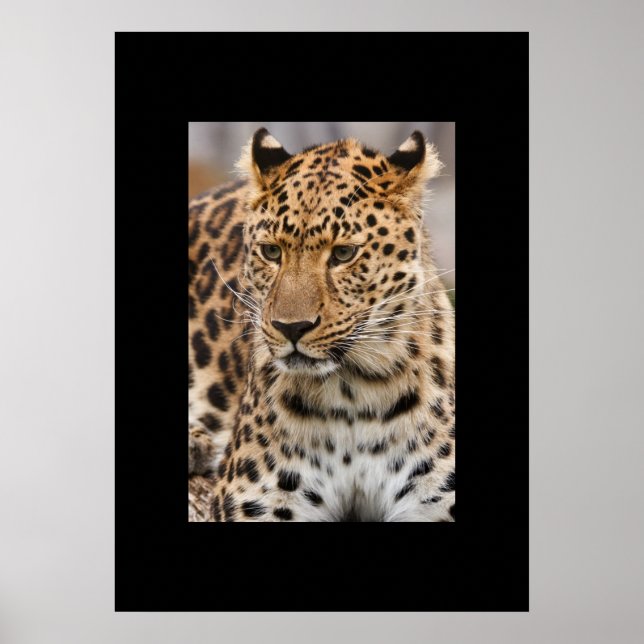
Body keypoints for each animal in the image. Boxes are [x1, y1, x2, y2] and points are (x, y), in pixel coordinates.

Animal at [188, 127, 455, 522]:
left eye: (344, 254)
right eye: (271, 251)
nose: (291, 328)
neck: (352, 398)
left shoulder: (435, 500)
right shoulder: (259, 500)